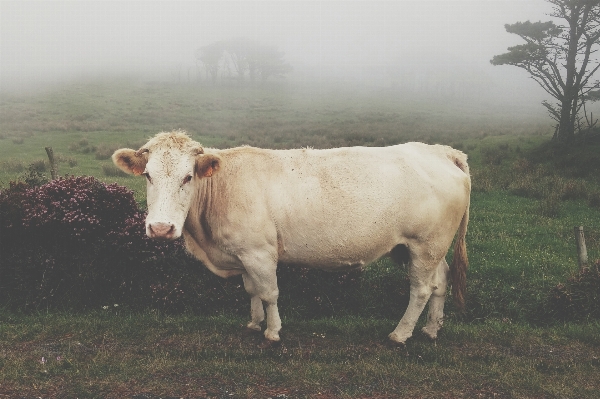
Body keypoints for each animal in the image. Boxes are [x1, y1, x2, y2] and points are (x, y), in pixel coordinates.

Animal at [111, 131, 468, 346]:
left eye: (188, 177)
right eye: (148, 175)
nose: (160, 228)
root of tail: (440, 151)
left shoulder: (259, 253)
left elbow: (269, 292)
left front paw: (272, 331)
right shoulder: (244, 254)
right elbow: (252, 290)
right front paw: (254, 323)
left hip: (425, 244)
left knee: (420, 289)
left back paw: (400, 334)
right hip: (422, 248)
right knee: (440, 281)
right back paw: (431, 329)